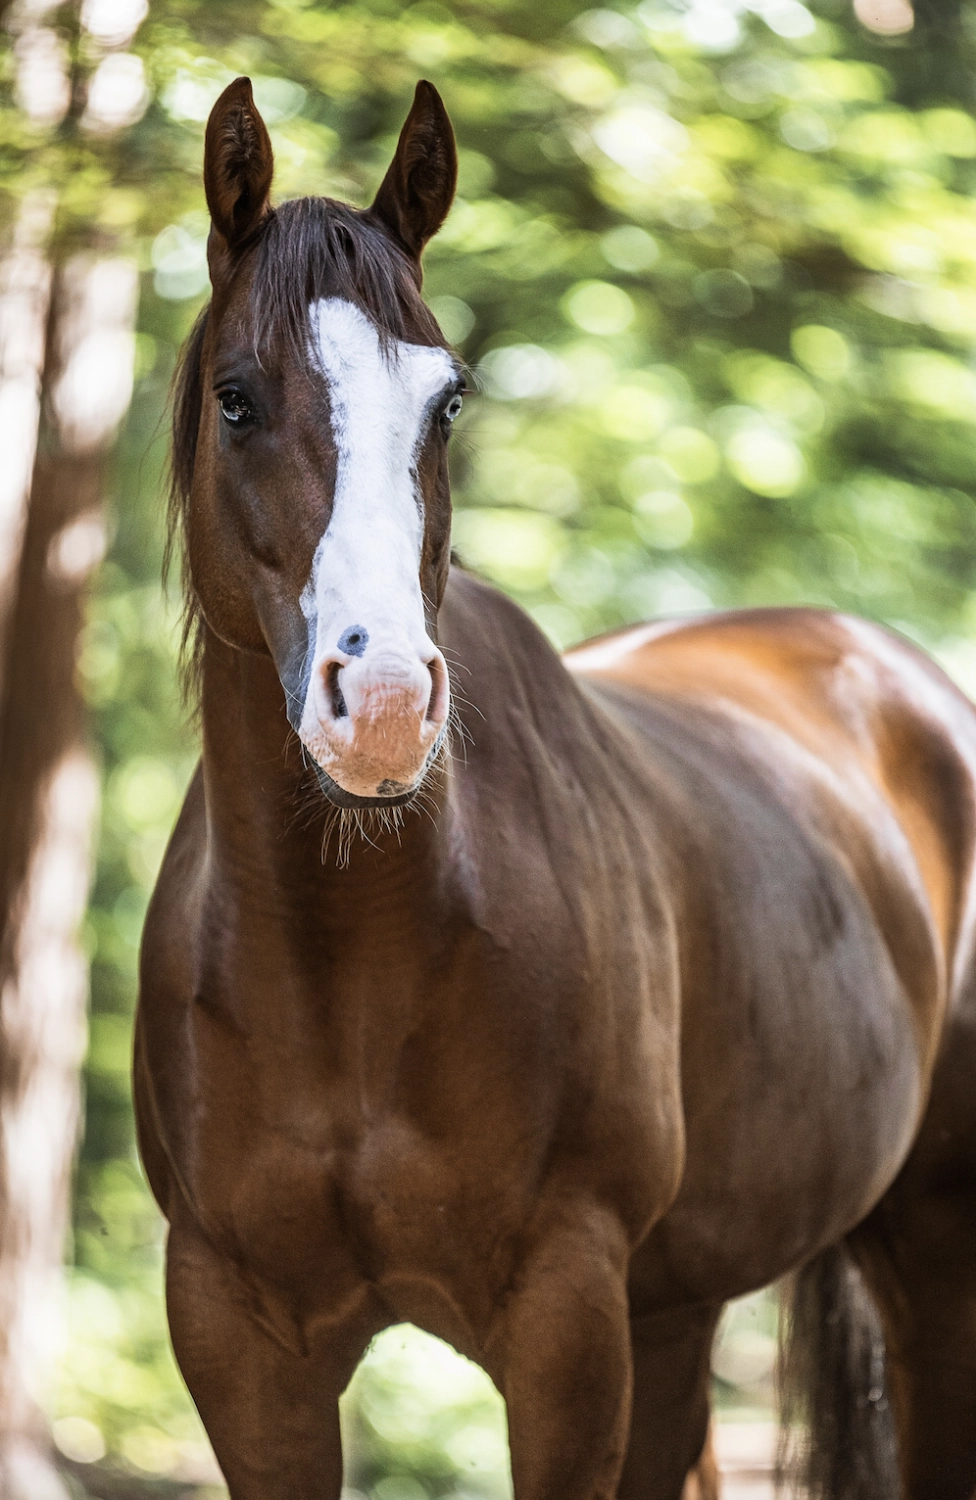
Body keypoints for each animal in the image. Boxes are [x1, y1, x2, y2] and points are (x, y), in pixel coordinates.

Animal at [139, 79, 976, 1500]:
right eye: (239, 399)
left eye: (447, 404)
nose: (384, 706)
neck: (342, 968)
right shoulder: (238, 1337)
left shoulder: (567, 1322)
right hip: (682, 1312)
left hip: (927, 1263)